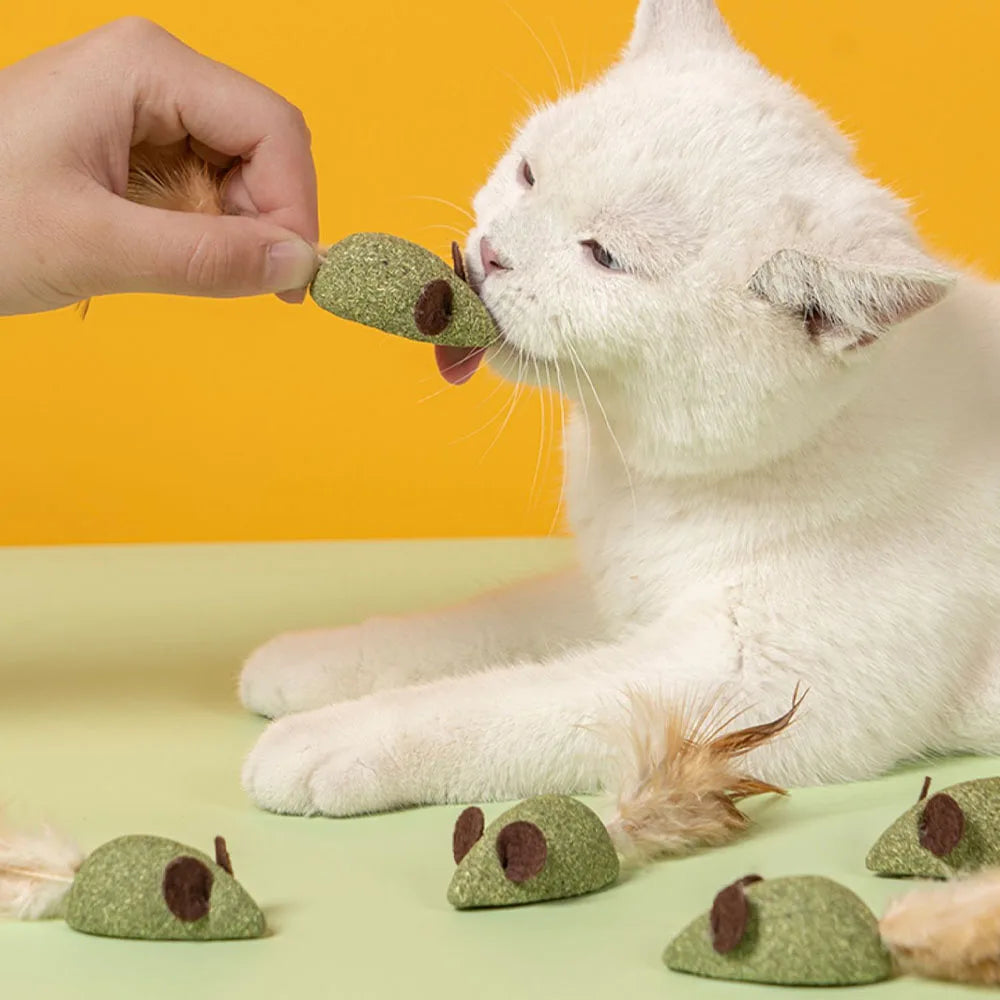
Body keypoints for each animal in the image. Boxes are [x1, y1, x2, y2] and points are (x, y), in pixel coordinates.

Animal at [238, 0, 1000, 850]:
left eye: (603, 255)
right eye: (530, 174)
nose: (493, 253)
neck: (648, 482)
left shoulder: (764, 682)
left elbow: (506, 703)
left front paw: (334, 738)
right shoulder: (618, 594)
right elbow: (478, 624)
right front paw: (316, 660)